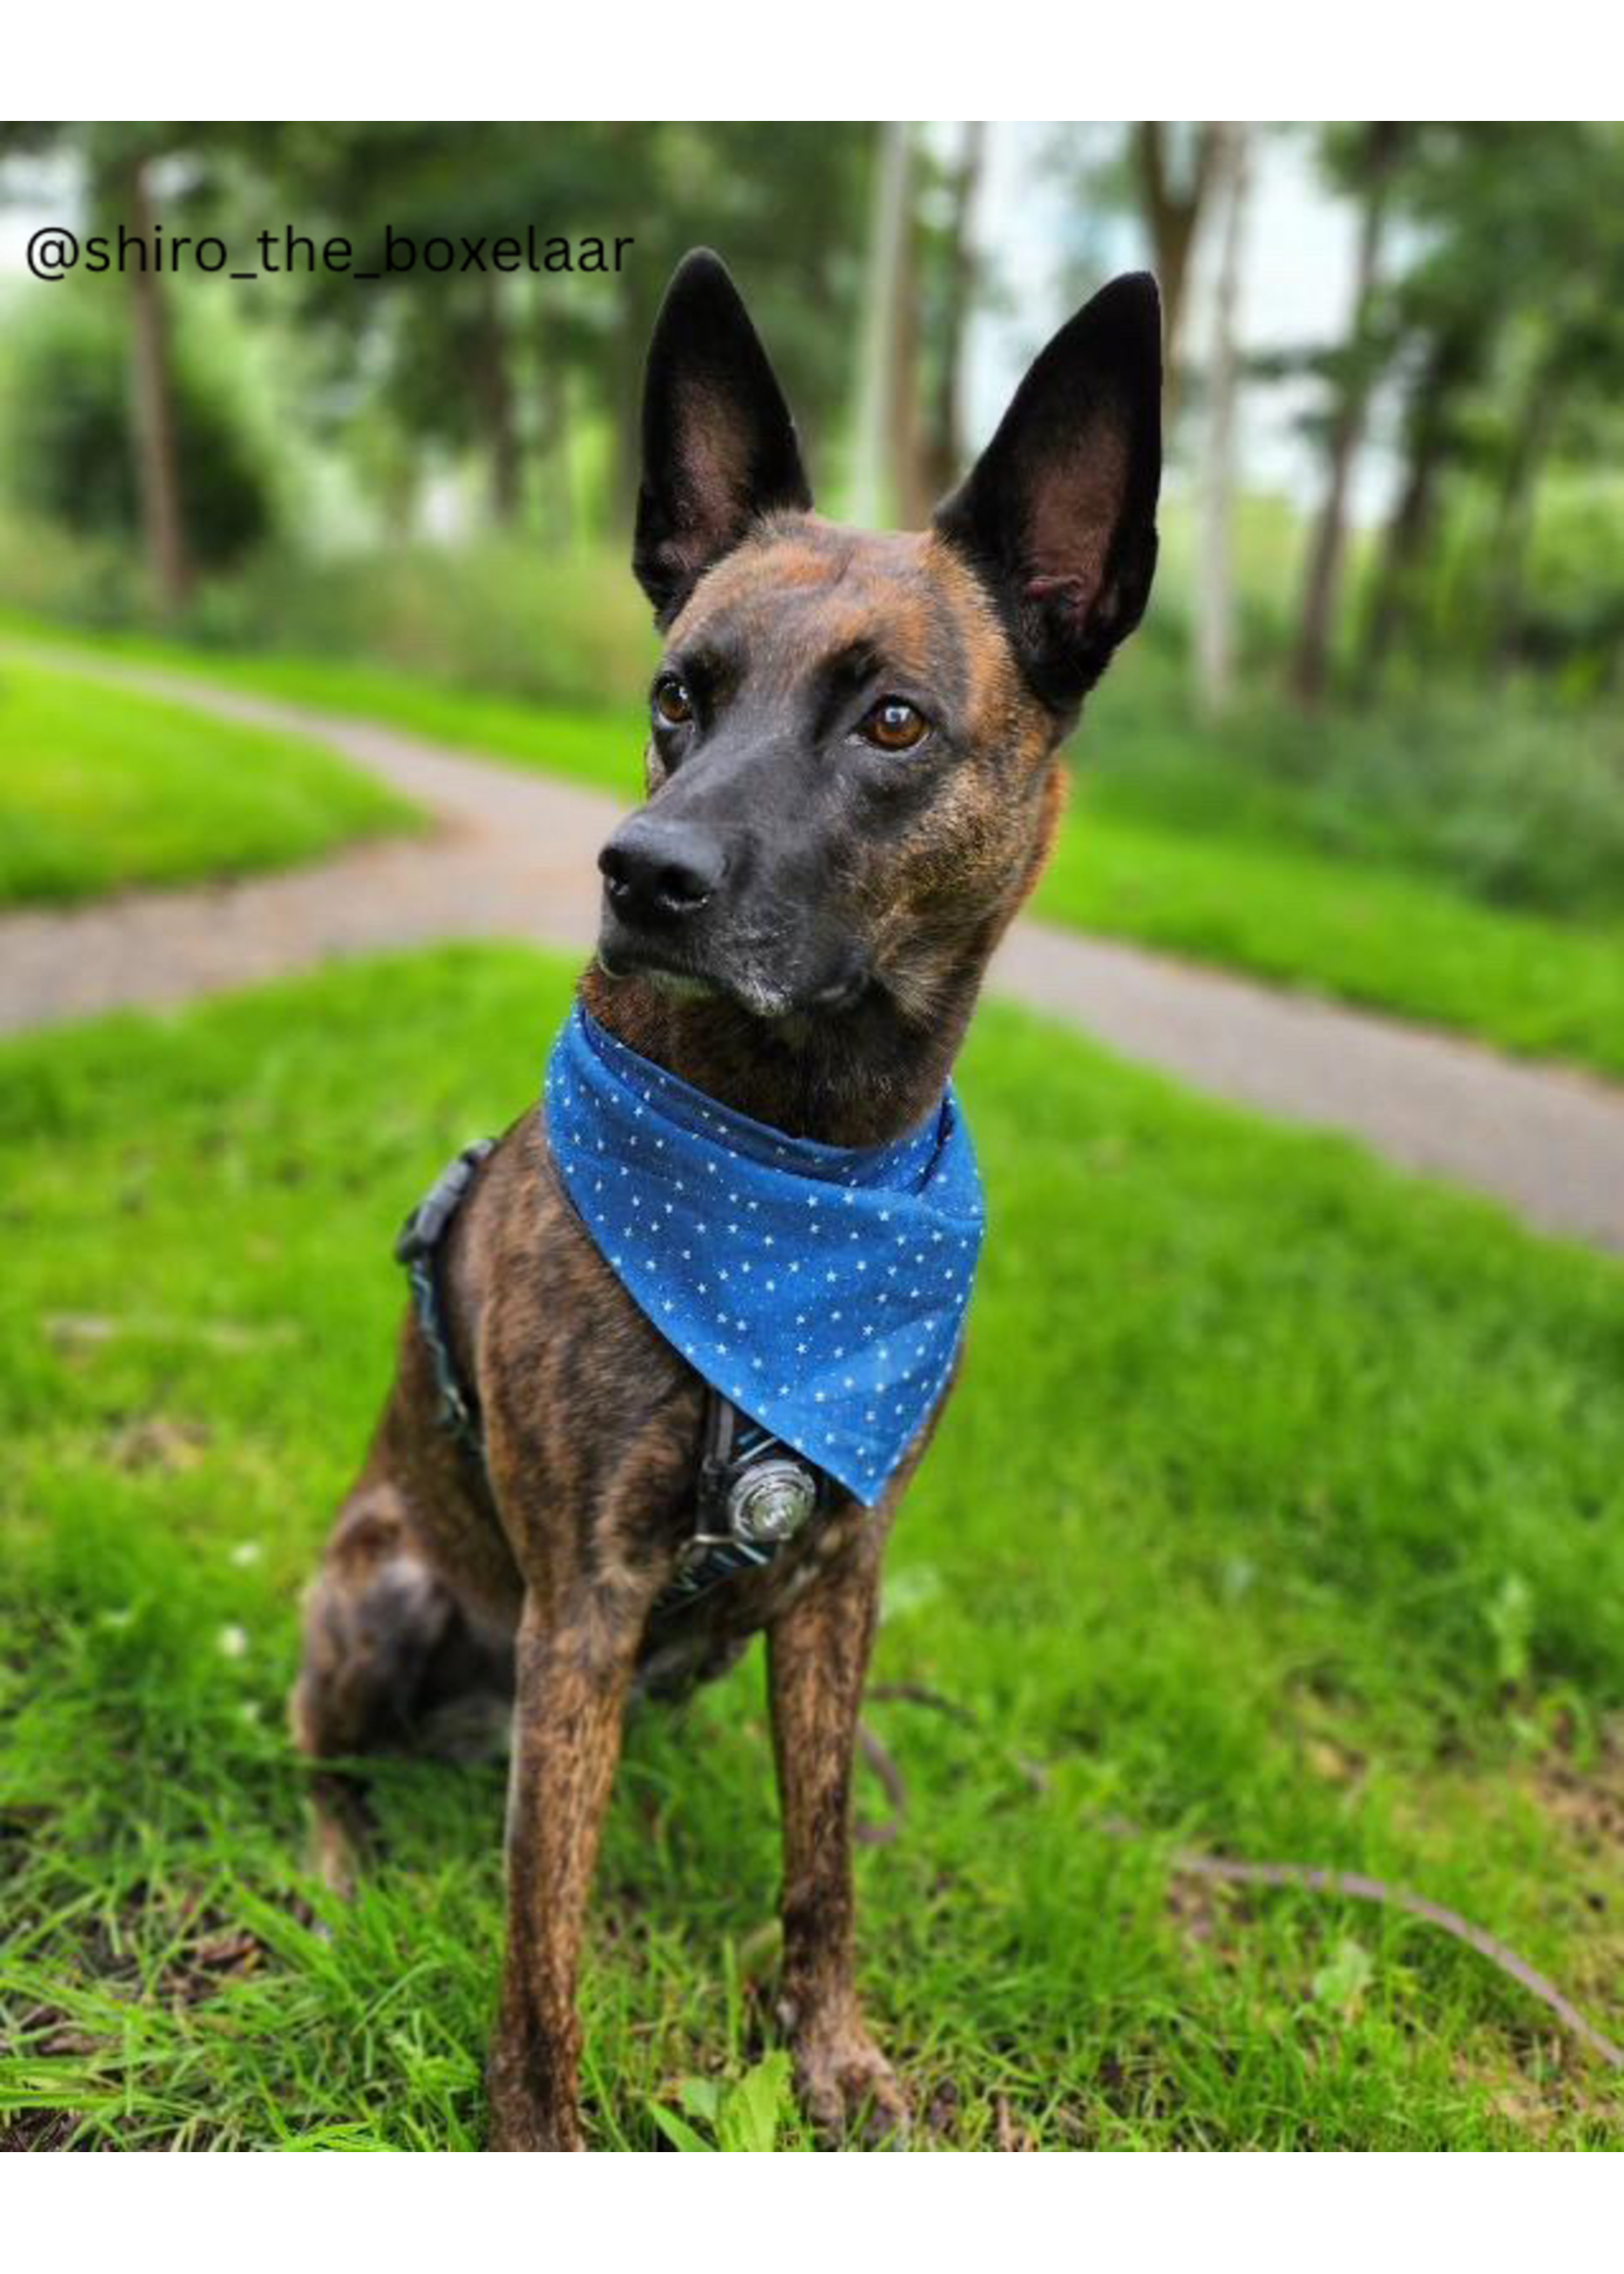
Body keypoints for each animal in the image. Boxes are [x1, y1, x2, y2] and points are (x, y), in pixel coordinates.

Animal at [287, 249, 1150, 2146]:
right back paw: (336, 1869)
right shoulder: (587, 1607)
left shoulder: (838, 1579)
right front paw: (538, 2121)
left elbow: (823, 1858)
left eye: (893, 721)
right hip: (382, 1590)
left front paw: (829, 2056)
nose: (642, 871)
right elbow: (539, 1961)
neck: (795, 1160)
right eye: (678, 693)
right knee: (317, 1745)